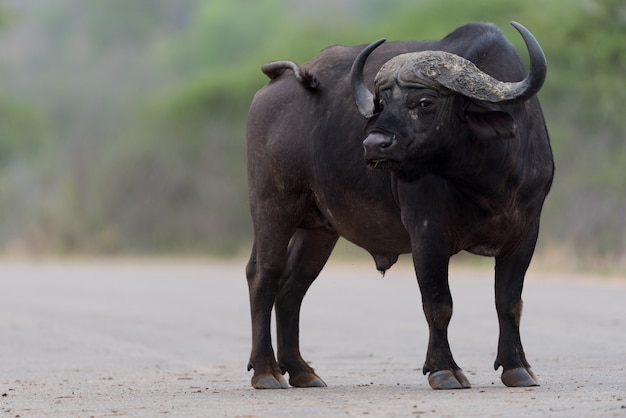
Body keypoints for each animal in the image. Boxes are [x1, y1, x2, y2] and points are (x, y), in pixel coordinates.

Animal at [244, 21, 552, 390]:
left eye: (424, 101)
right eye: (382, 102)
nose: (374, 143)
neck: (486, 177)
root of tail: (274, 86)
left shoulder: (525, 233)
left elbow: (508, 302)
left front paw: (517, 367)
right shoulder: (427, 232)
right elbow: (438, 303)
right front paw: (444, 369)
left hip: (319, 229)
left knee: (292, 287)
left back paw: (302, 370)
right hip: (272, 206)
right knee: (264, 275)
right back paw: (266, 370)